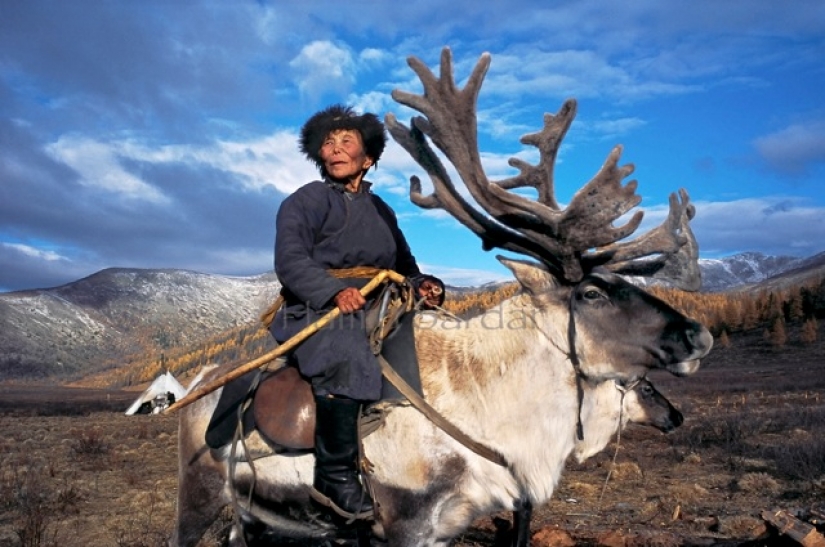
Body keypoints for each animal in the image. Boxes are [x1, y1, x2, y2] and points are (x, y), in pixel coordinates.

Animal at [171, 47, 712, 547]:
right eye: (593, 292)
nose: (698, 335)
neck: (492, 414)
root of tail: (200, 376)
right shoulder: (406, 524)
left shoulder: (447, 527)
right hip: (198, 491)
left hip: (253, 515)